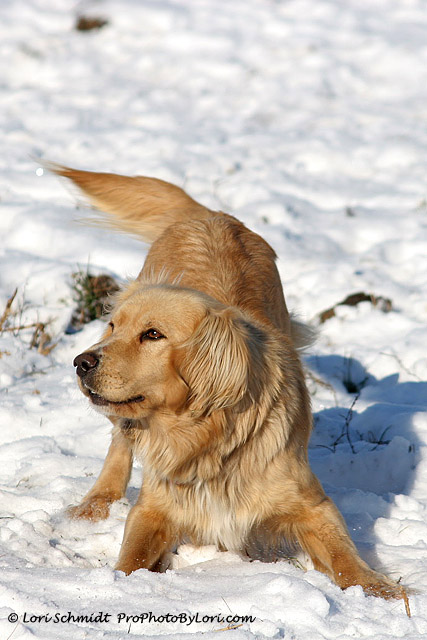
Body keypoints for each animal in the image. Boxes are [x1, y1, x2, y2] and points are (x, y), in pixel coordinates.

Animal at [55, 164, 410, 608]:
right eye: (113, 326)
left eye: (152, 334)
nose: (81, 362)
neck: (206, 438)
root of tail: (213, 215)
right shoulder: (154, 506)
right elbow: (132, 555)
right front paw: (117, 583)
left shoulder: (311, 502)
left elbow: (343, 554)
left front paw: (379, 589)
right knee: (120, 441)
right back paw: (95, 505)